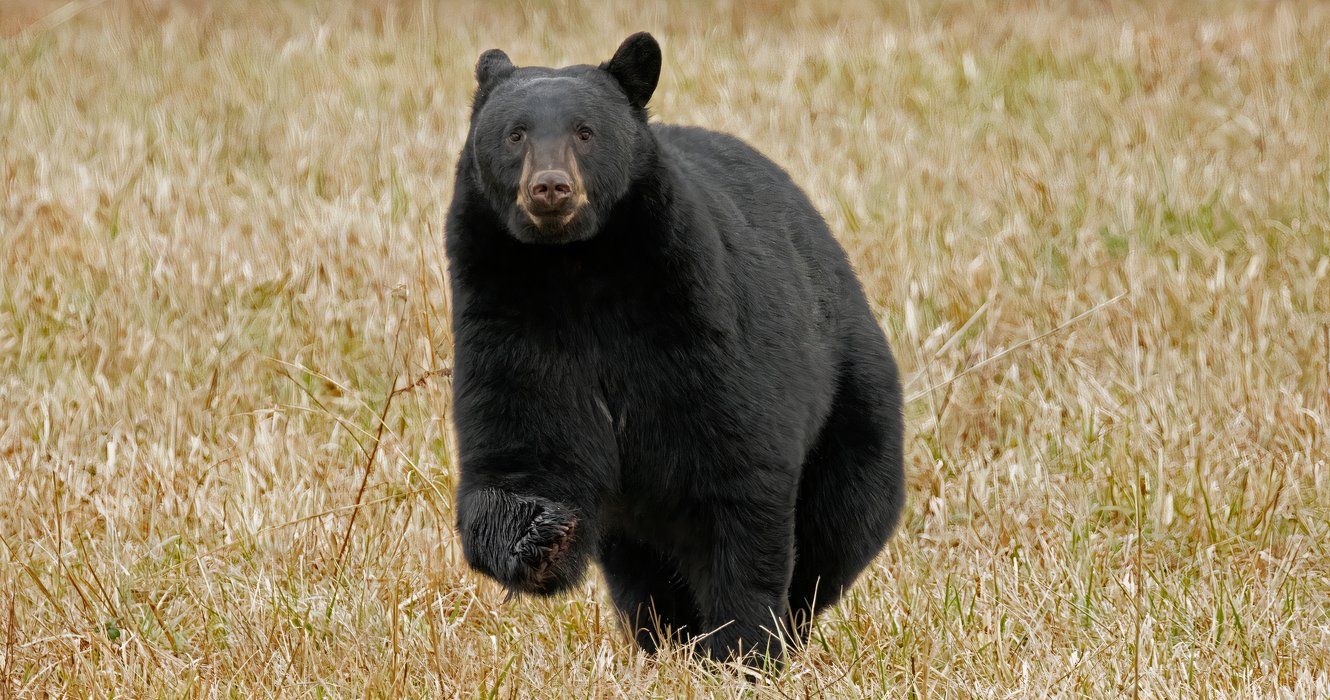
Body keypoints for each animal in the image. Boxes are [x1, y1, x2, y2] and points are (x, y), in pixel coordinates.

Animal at [446, 34, 904, 670]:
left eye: (585, 132)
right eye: (515, 134)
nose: (551, 188)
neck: (575, 266)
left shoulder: (691, 317)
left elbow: (738, 469)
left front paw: (746, 650)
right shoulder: (505, 314)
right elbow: (522, 448)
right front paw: (542, 538)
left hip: (854, 396)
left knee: (843, 523)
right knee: (640, 568)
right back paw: (666, 638)